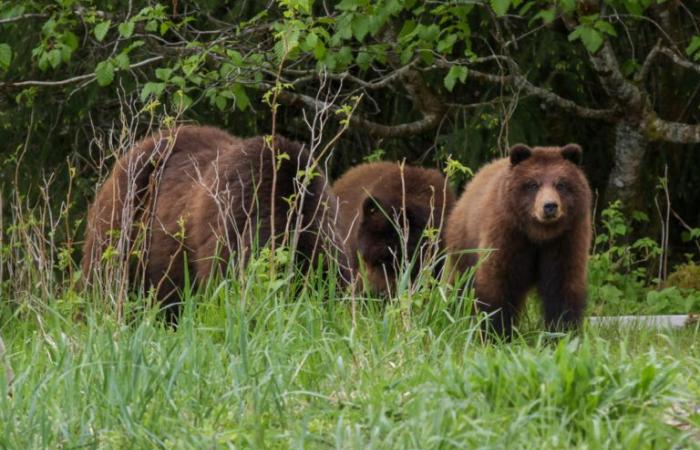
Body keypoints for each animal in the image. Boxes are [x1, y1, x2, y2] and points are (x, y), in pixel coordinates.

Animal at [442, 144, 592, 338]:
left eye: (561, 184)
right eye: (533, 184)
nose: (550, 206)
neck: (539, 235)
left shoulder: (566, 239)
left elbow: (562, 285)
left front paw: (561, 332)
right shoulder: (507, 235)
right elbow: (498, 282)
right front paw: (496, 332)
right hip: (464, 245)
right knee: (460, 283)